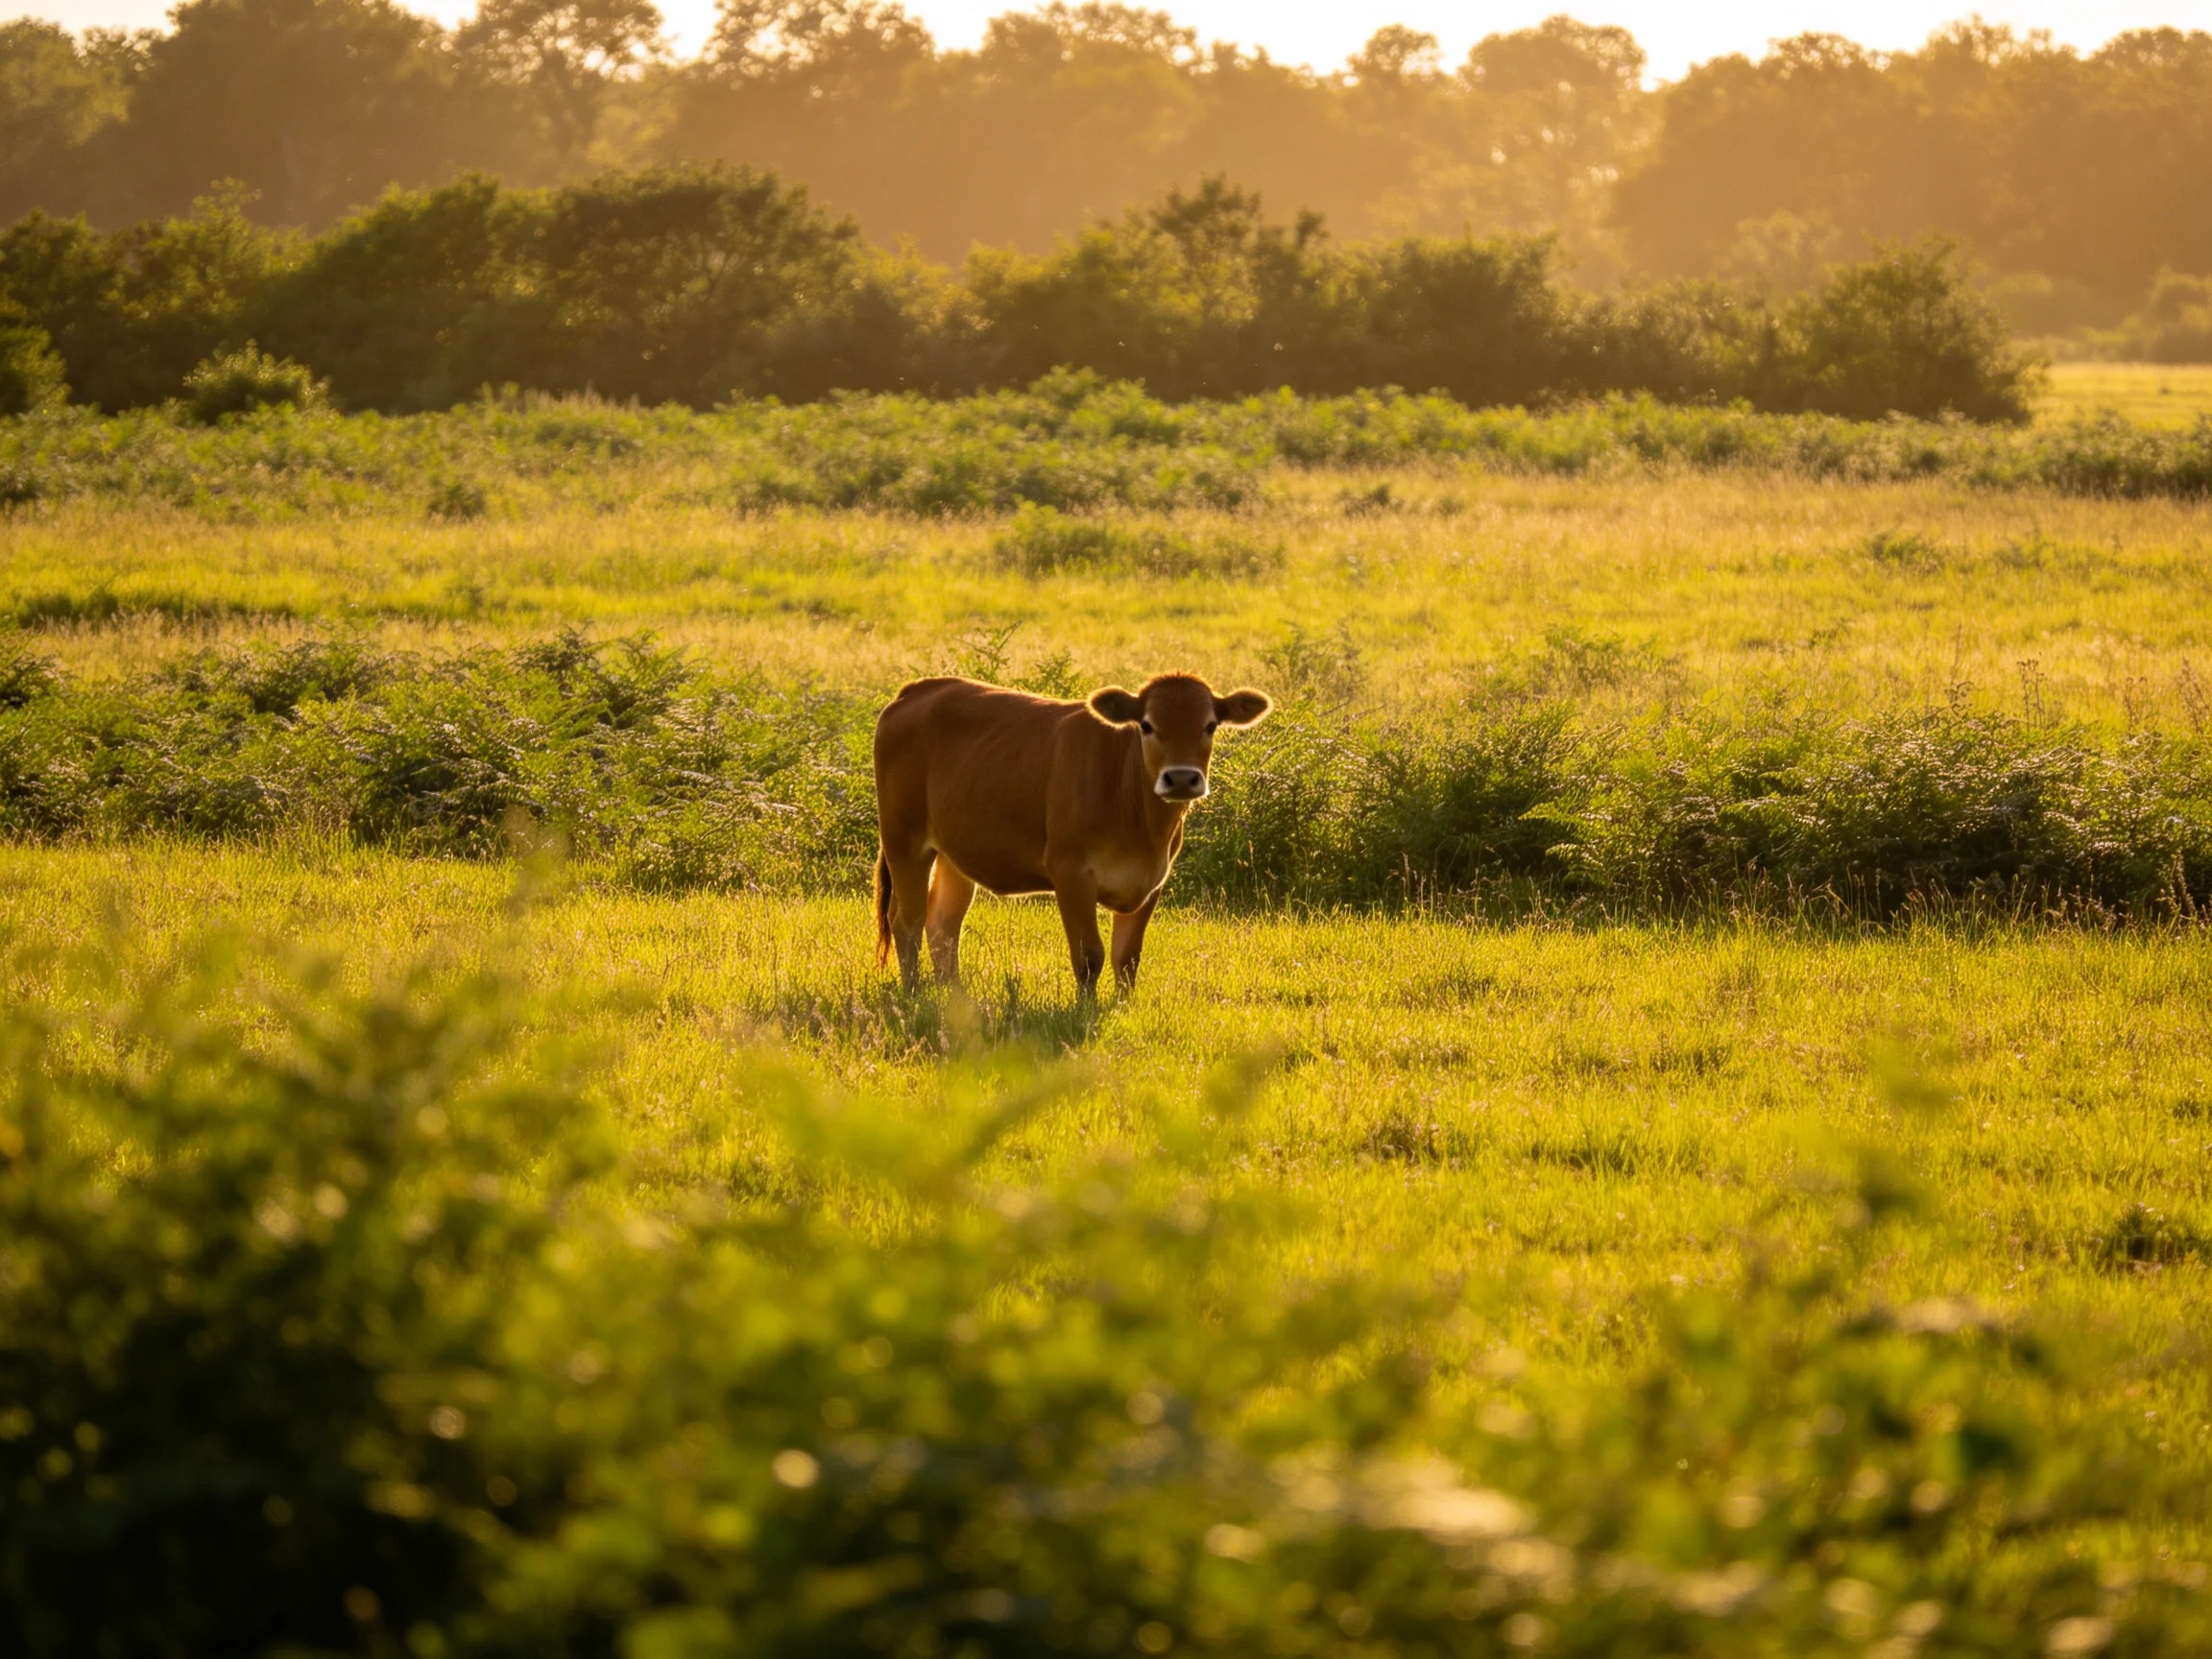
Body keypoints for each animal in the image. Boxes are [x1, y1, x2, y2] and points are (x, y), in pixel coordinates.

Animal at [873, 672, 1272, 995]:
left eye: (1210, 726)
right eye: (1146, 725)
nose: (1181, 778)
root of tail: (919, 689)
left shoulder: (1153, 881)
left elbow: (1127, 957)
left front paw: (1121, 1008)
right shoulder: (1070, 873)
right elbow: (1089, 956)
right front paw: (1086, 1010)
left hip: (956, 851)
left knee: (943, 924)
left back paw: (955, 997)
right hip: (904, 840)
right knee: (907, 922)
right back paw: (914, 993)